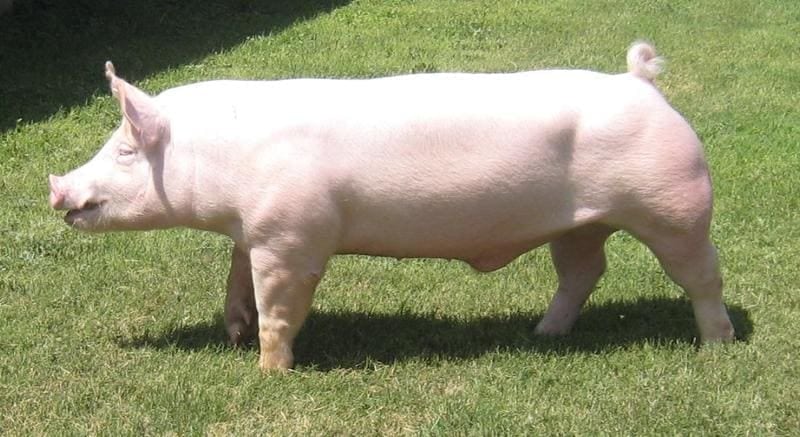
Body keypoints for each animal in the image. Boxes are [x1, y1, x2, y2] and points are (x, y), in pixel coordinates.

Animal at [49, 42, 735, 371]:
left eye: (124, 150)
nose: (56, 187)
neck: (222, 158)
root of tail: (641, 83)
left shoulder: (293, 235)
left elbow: (279, 304)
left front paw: (269, 370)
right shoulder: (254, 229)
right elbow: (235, 280)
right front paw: (235, 334)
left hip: (674, 204)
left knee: (702, 275)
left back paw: (716, 347)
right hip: (583, 222)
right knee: (585, 271)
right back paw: (541, 335)